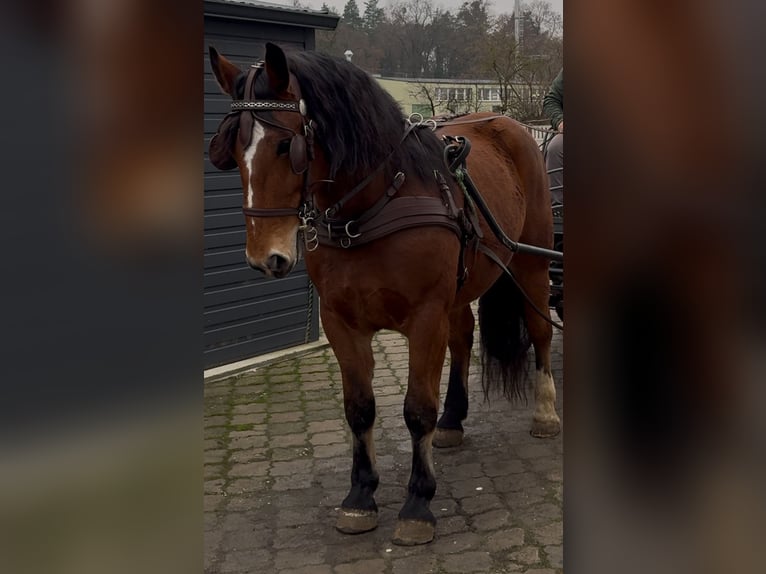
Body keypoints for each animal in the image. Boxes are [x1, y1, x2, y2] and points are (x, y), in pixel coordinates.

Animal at [207, 42, 560, 548]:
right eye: (233, 149)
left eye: (286, 146)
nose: (265, 257)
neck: (374, 204)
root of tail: (509, 123)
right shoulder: (341, 322)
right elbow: (359, 409)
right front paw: (360, 495)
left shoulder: (425, 319)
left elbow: (416, 409)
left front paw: (418, 502)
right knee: (463, 338)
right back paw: (453, 420)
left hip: (531, 264)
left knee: (540, 332)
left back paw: (545, 413)